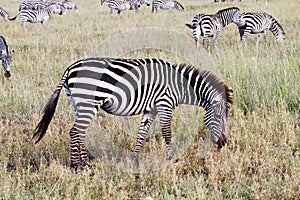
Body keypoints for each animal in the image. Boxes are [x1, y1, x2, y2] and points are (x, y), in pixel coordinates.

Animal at [32, 57, 234, 171]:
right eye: (219, 116)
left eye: (229, 117)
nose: (223, 143)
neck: (179, 85)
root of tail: (70, 68)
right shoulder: (164, 104)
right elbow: (167, 133)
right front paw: (172, 159)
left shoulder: (151, 109)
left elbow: (142, 133)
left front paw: (135, 158)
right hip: (89, 102)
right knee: (75, 131)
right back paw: (77, 166)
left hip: (79, 103)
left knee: (79, 132)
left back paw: (86, 163)